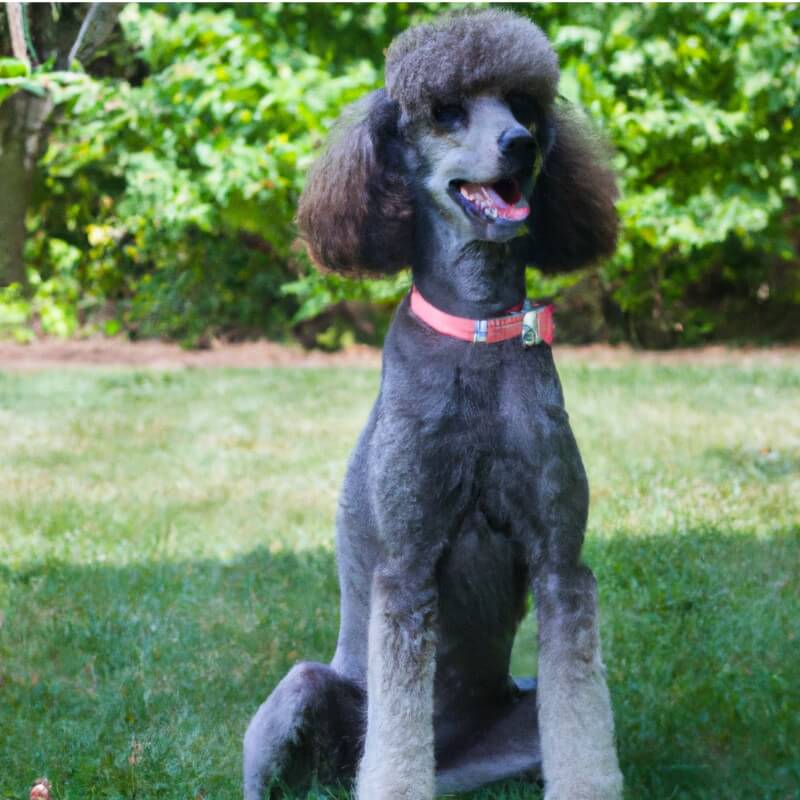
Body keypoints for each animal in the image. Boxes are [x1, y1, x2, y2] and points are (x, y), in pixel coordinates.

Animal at [244, 12, 624, 800]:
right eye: (446, 111)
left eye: (525, 105)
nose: (519, 144)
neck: (476, 333)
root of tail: (450, 763)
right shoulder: (408, 567)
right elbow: (394, 745)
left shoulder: (561, 564)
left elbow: (583, 724)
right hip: (301, 691)